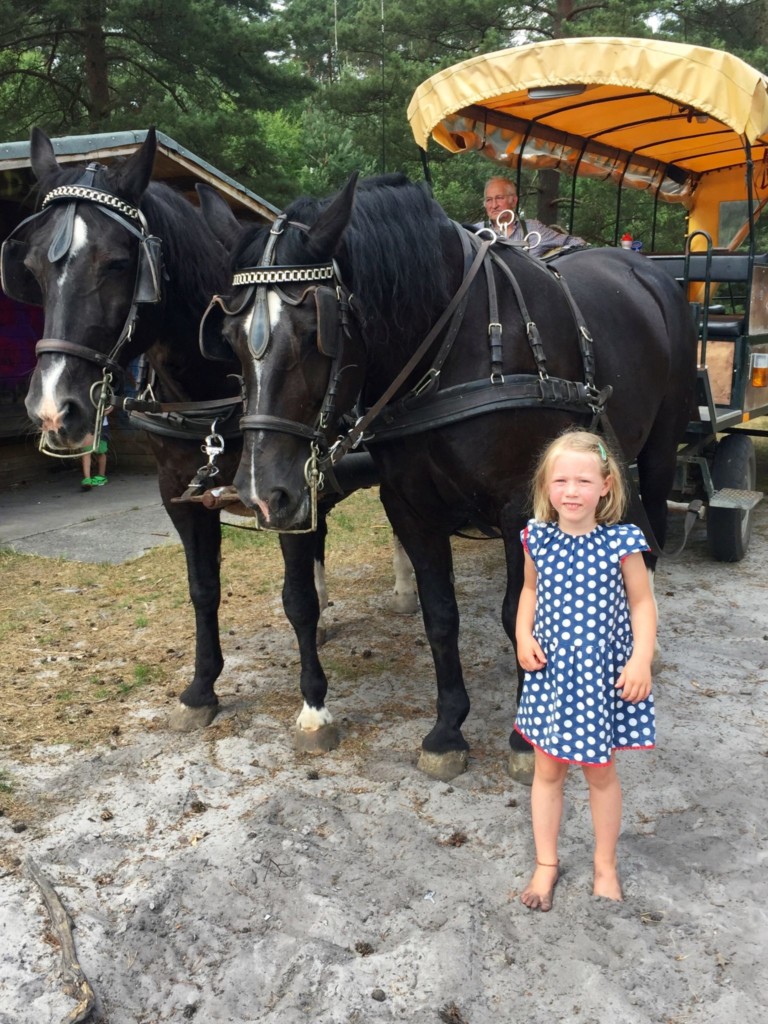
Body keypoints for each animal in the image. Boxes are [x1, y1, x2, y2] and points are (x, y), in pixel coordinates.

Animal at [6, 132, 415, 749]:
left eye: (119, 263)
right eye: (30, 267)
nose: (53, 410)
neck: (216, 392)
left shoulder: (279, 487)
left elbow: (294, 599)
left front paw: (314, 705)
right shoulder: (181, 494)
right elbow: (203, 589)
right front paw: (201, 690)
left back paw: (405, 588)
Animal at [199, 174, 704, 782]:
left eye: (313, 331)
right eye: (228, 335)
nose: (259, 492)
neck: (455, 350)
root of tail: (645, 268)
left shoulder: (520, 508)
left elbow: (517, 616)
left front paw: (523, 742)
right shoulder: (410, 506)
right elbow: (440, 616)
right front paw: (447, 731)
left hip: (657, 449)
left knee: (650, 536)